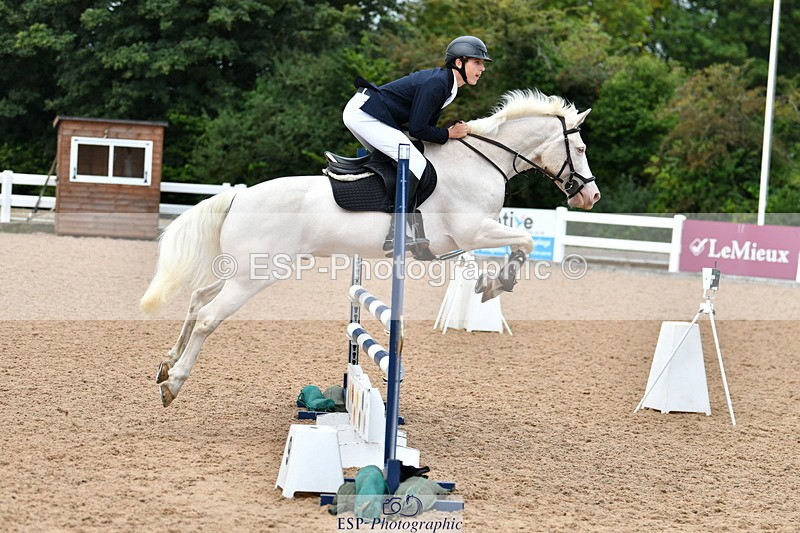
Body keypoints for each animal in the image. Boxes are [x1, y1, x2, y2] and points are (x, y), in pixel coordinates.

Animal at [140, 89, 601, 407]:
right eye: (579, 148)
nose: (590, 197)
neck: (480, 162)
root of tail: (239, 195)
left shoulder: (466, 239)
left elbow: (504, 251)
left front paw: (488, 284)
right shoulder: (472, 231)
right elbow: (523, 241)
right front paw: (497, 284)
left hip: (243, 270)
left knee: (198, 299)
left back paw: (166, 364)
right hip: (256, 276)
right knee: (208, 317)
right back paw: (175, 383)